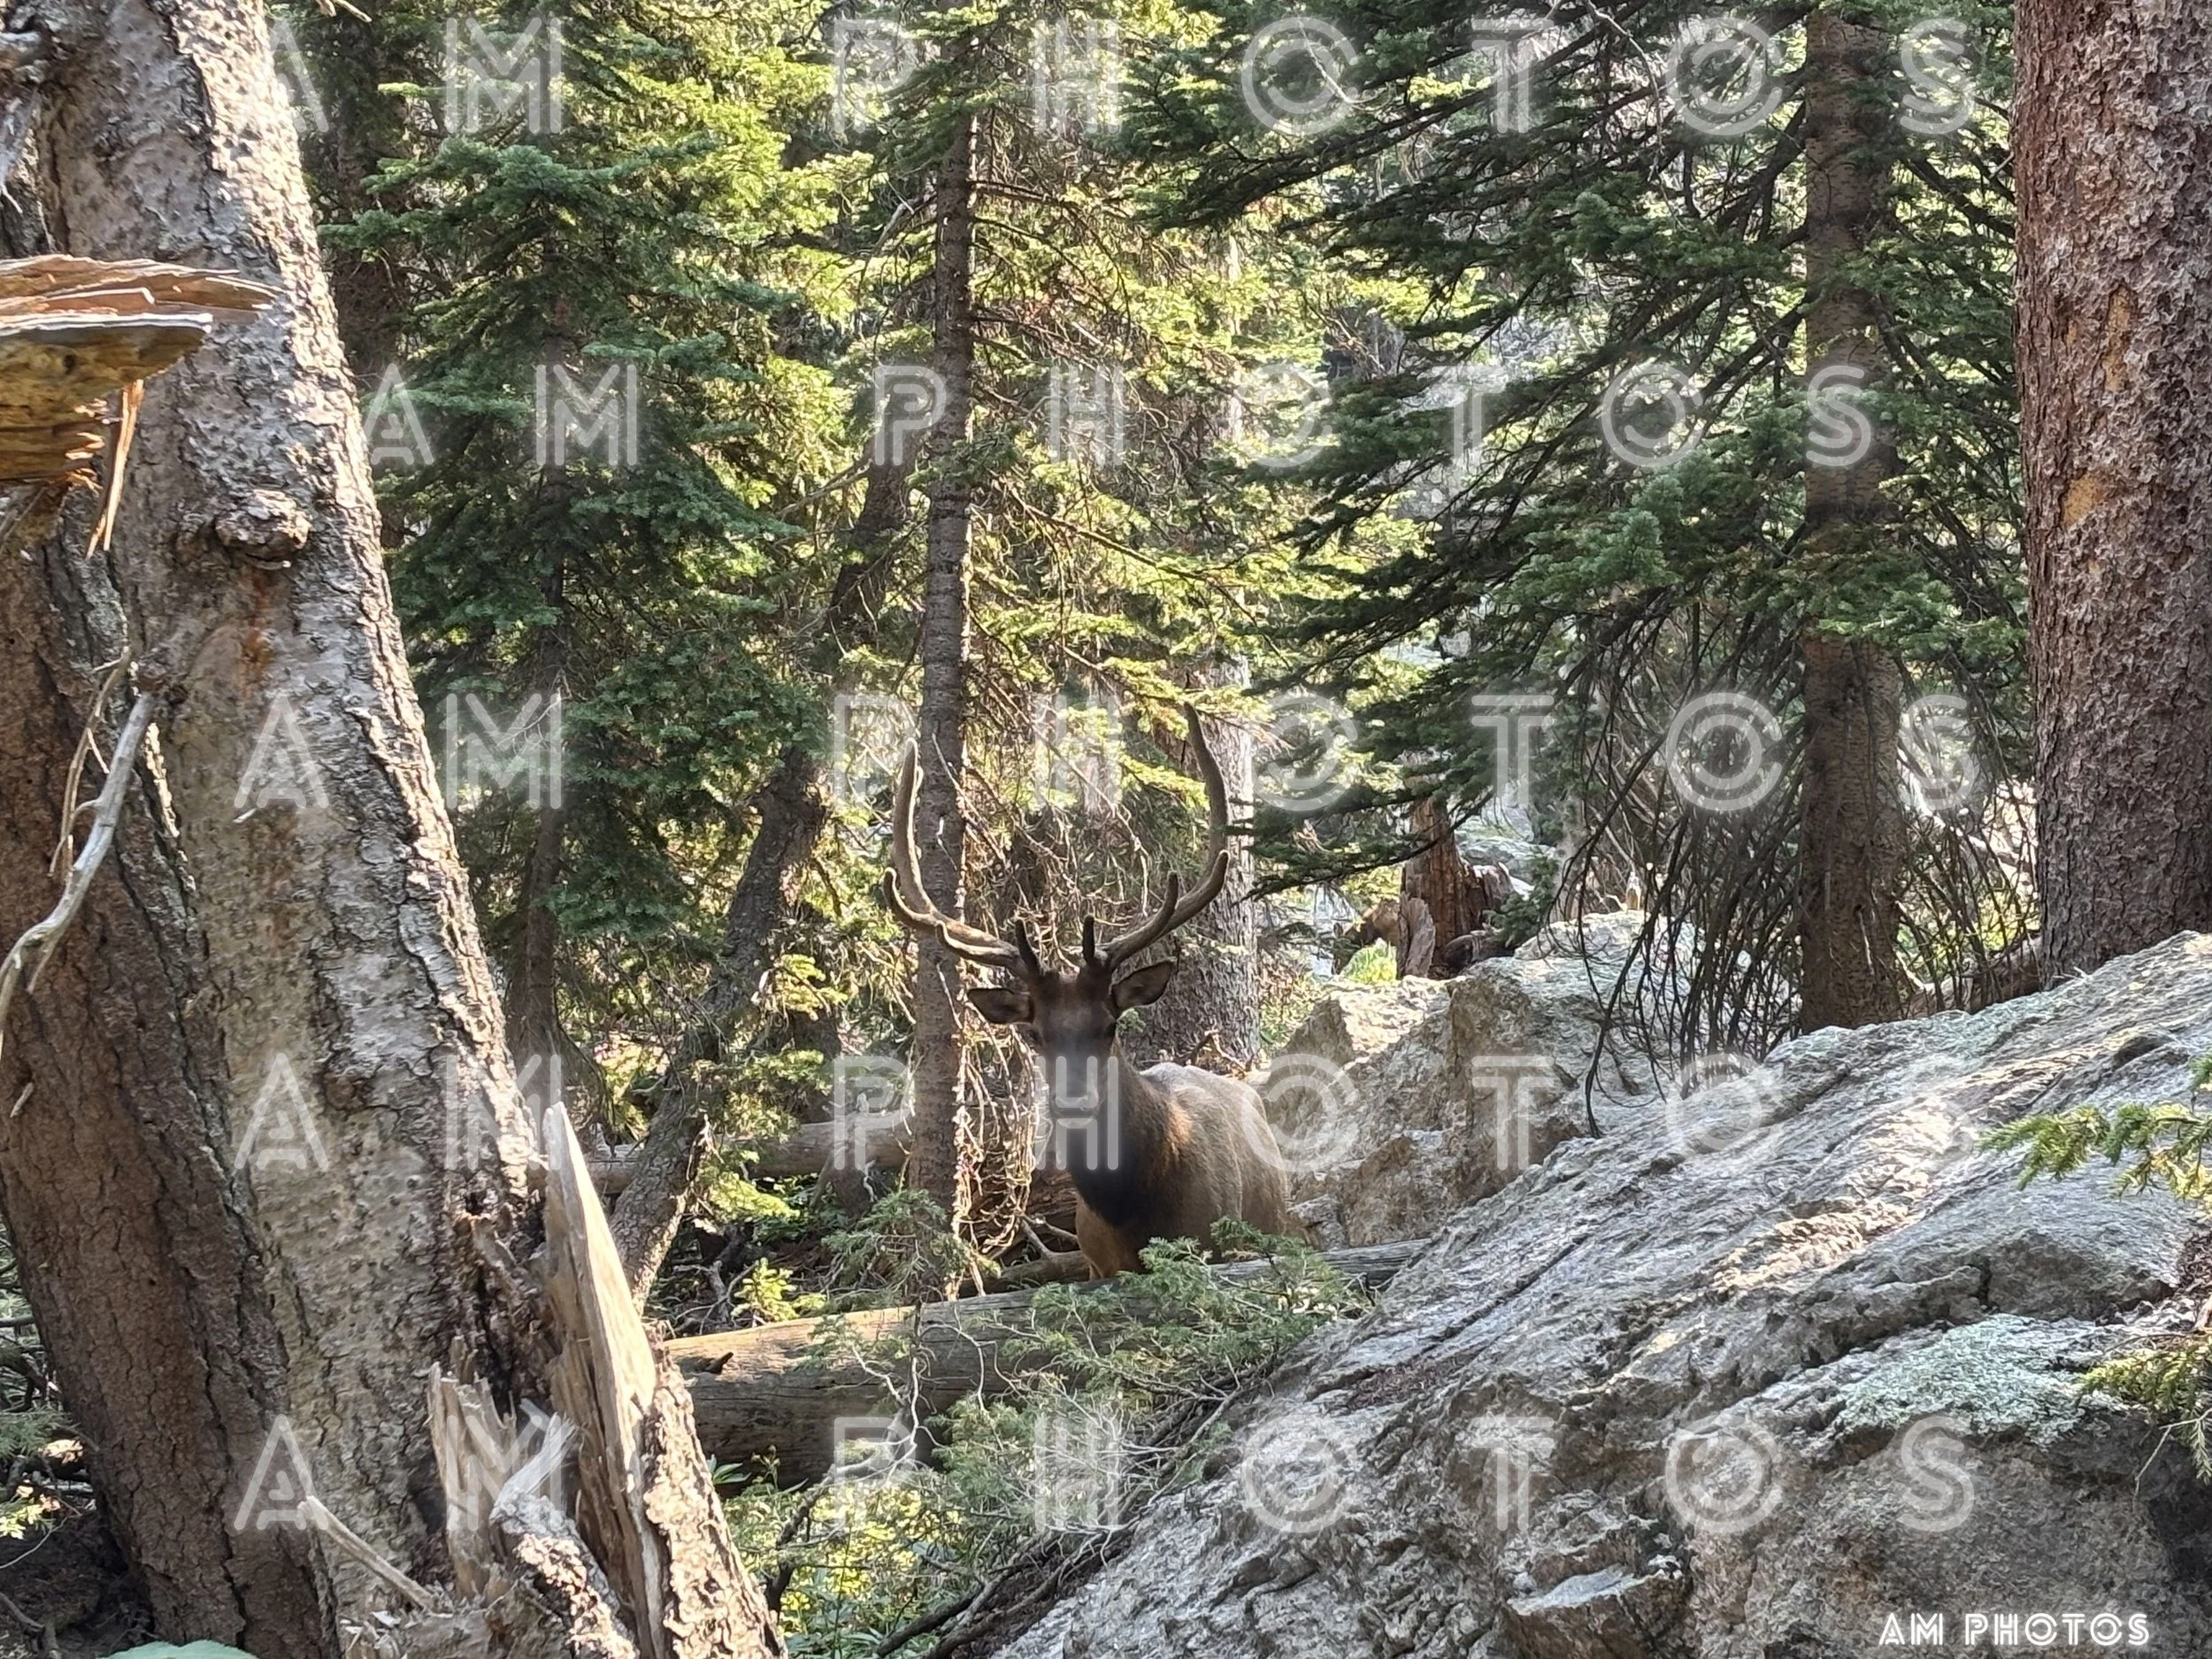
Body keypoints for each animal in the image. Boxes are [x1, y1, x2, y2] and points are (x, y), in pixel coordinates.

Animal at [883, 706, 1294, 1277]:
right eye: (1034, 1033)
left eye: (1109, 1025)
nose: (1074, 1100)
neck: (1133, 1215)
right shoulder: (1098, 1263)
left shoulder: (1211, 1242)